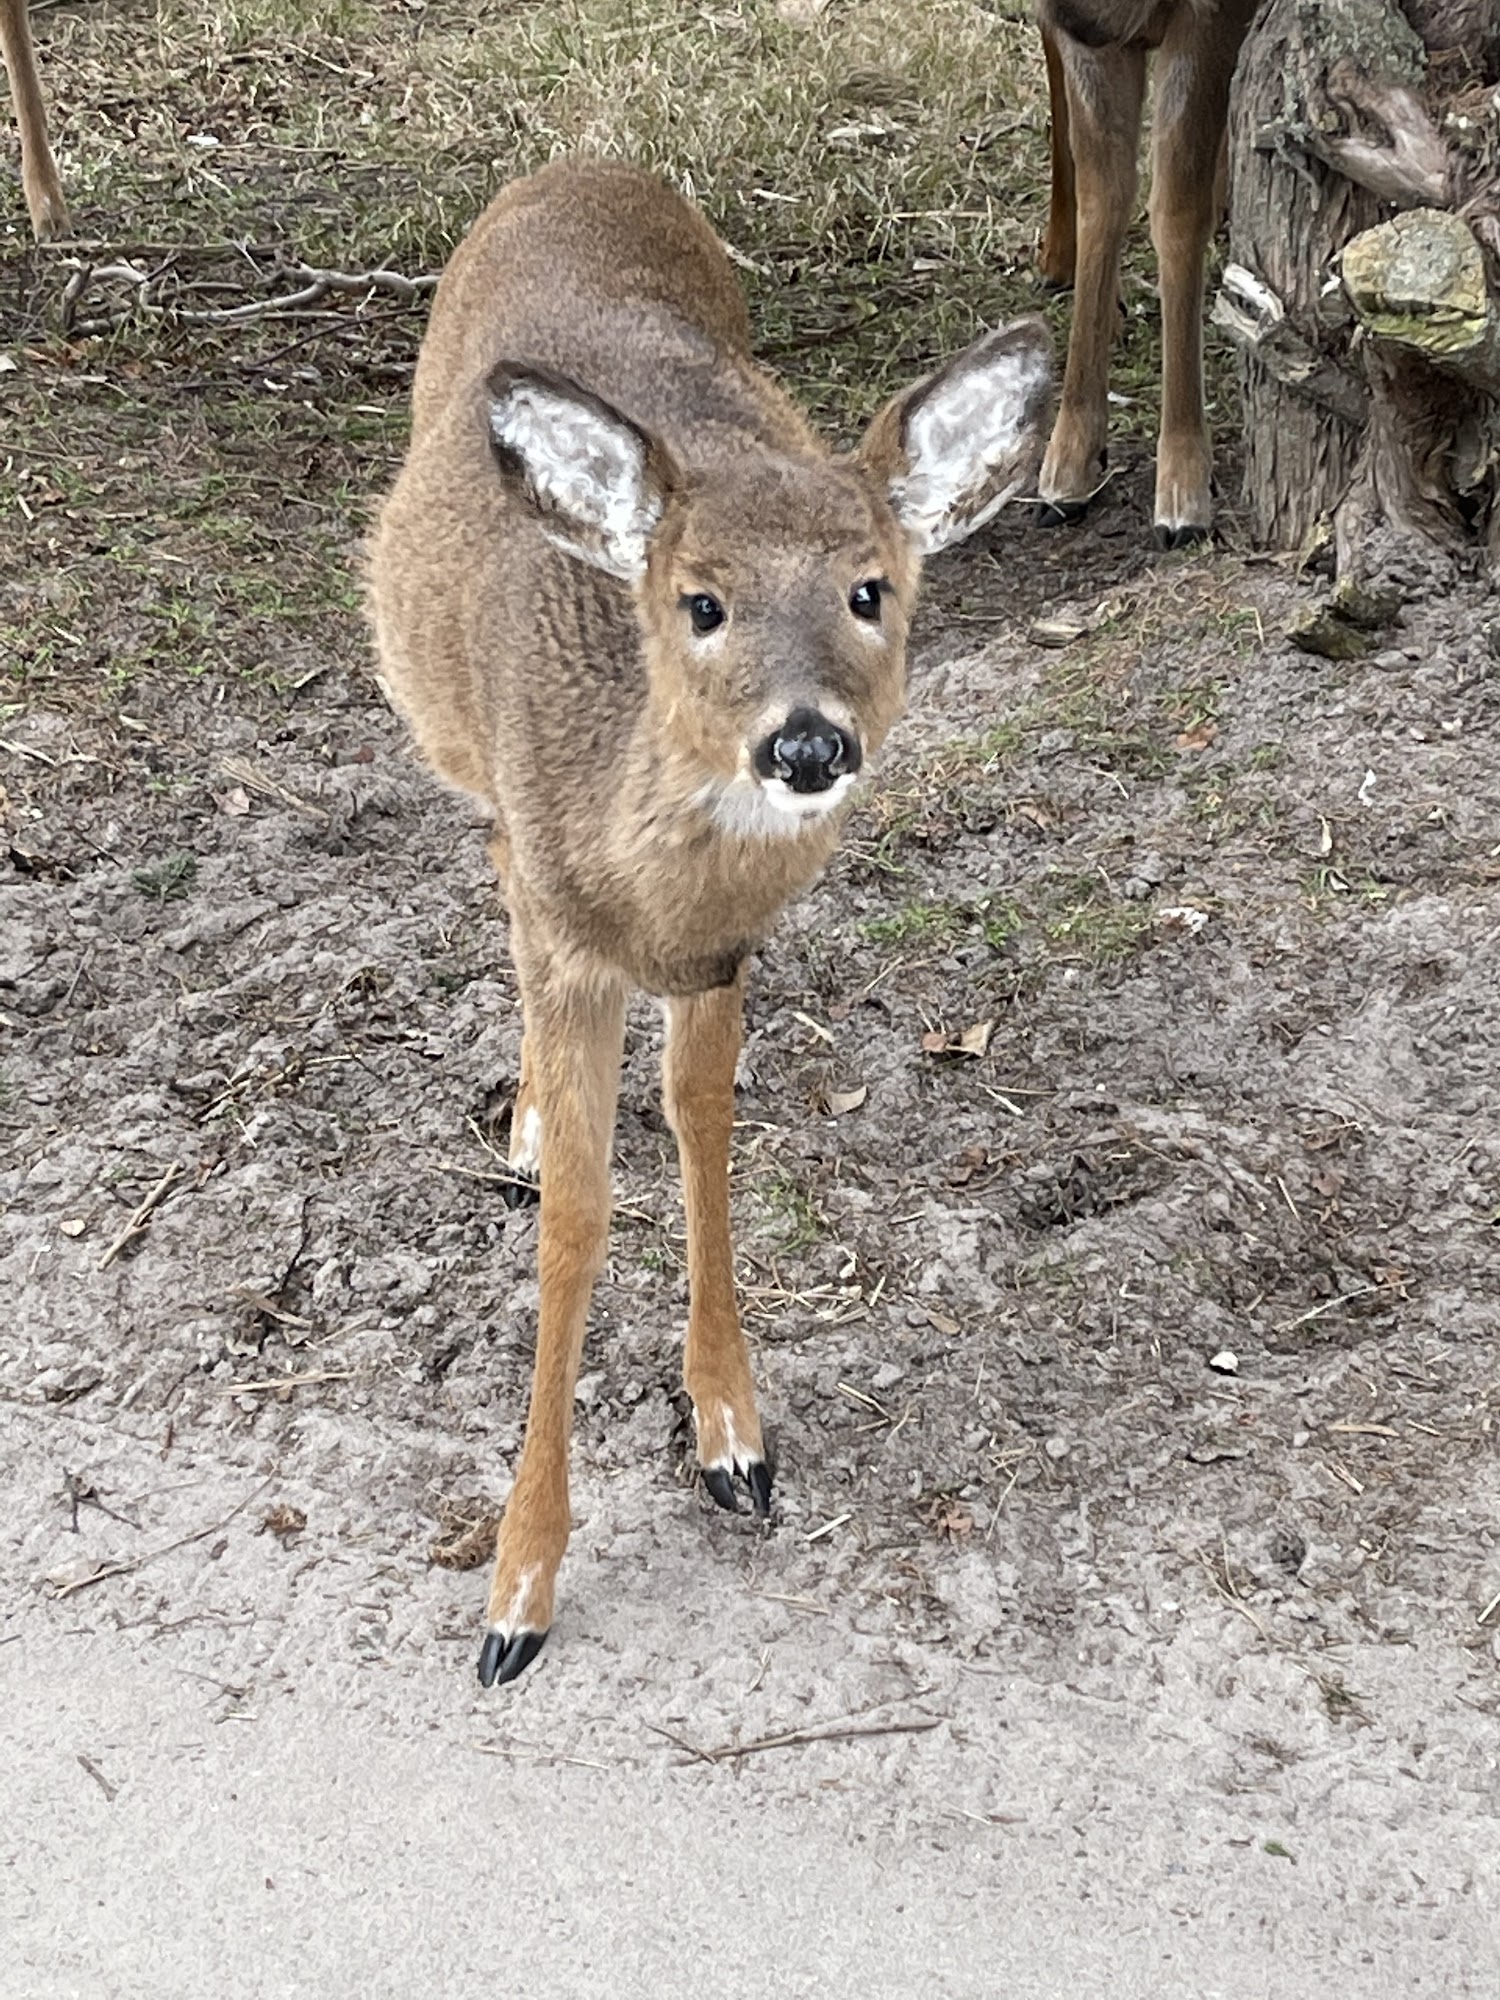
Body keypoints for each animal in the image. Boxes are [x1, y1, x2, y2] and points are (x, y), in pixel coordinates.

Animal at [366, 160, 1056, 1688]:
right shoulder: (567, 933)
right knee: (487, 856)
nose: (806, 744)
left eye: (870, 588)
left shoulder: (719, 953)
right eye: (700, 602)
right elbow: (577, 1217)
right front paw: (515, 1595)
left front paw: (734, 1438)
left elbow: (704, 1133)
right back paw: (518, 1120)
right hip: (456, 747)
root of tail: (585, 163)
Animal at [1032, 0, 1256, 548]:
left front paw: (1183, 488)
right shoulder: (1087, 35)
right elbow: (1103, 195)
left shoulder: (1214, 15)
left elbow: (1176, 209)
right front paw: (1068, 466)